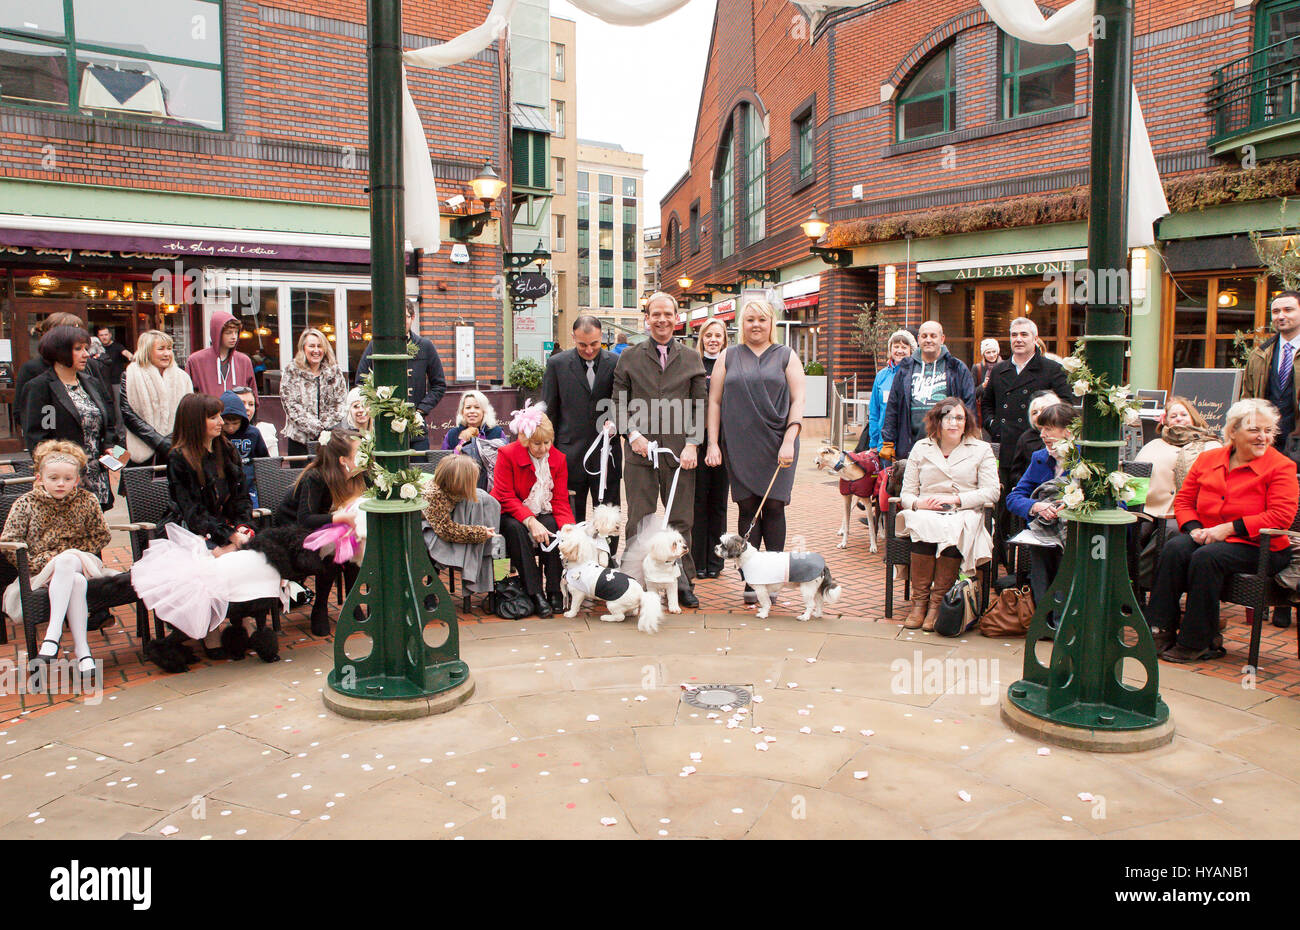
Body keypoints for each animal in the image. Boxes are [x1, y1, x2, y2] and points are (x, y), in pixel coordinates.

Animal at [712, 535, 842, 621]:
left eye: (724, 546)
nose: (715, 547)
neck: (749, 557)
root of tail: (823, 565)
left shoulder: (761, 589)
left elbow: (765, 602)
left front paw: (763, 613)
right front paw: (762, 611)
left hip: (807, 589)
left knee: (811, 604)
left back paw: (805, 616)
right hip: (815, 588)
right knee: (820, 602)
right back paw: (818, 614)